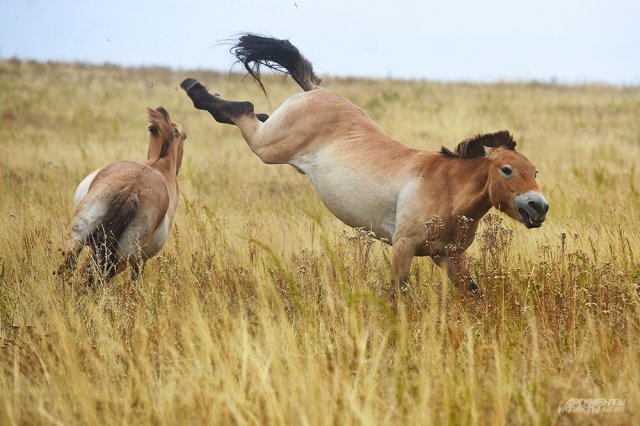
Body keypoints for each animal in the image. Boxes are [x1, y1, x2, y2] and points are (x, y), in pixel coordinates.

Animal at [179, 35, 544, 302]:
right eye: (507, 170)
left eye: (536, 172)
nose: (539, 207)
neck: (447, 190)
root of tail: (316, 90)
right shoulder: (404, 247)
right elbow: (398, 295)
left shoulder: (450, 258)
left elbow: (474, 295)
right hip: (268, 146)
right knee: (244, 109)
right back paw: (193, 87)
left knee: (253, 113)